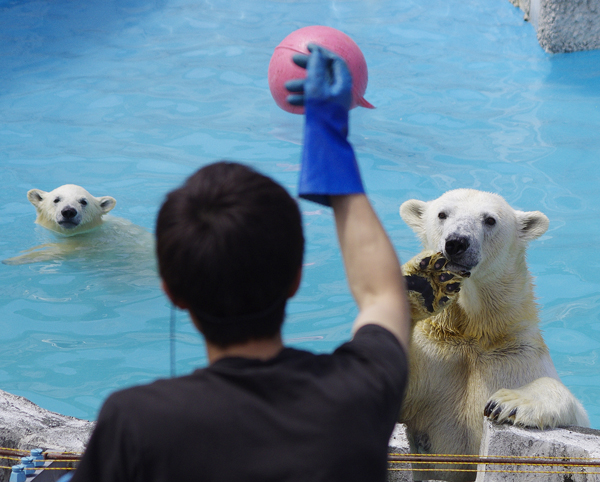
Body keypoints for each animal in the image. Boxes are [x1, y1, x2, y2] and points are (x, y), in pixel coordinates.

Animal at [3, 185, 154, 270]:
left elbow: (61, 250)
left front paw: (13, 259)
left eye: (83, 201)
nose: (68, 211)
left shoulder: (89, 241)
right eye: (56, 199)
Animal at [396, 188, 588, 482]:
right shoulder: (434, 354)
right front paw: (424, 282)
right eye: (442, 214)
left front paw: (509, 402)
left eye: (489, 220)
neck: (472, 333)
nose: (456, 242)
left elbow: (572, 409)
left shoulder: (514, 356)